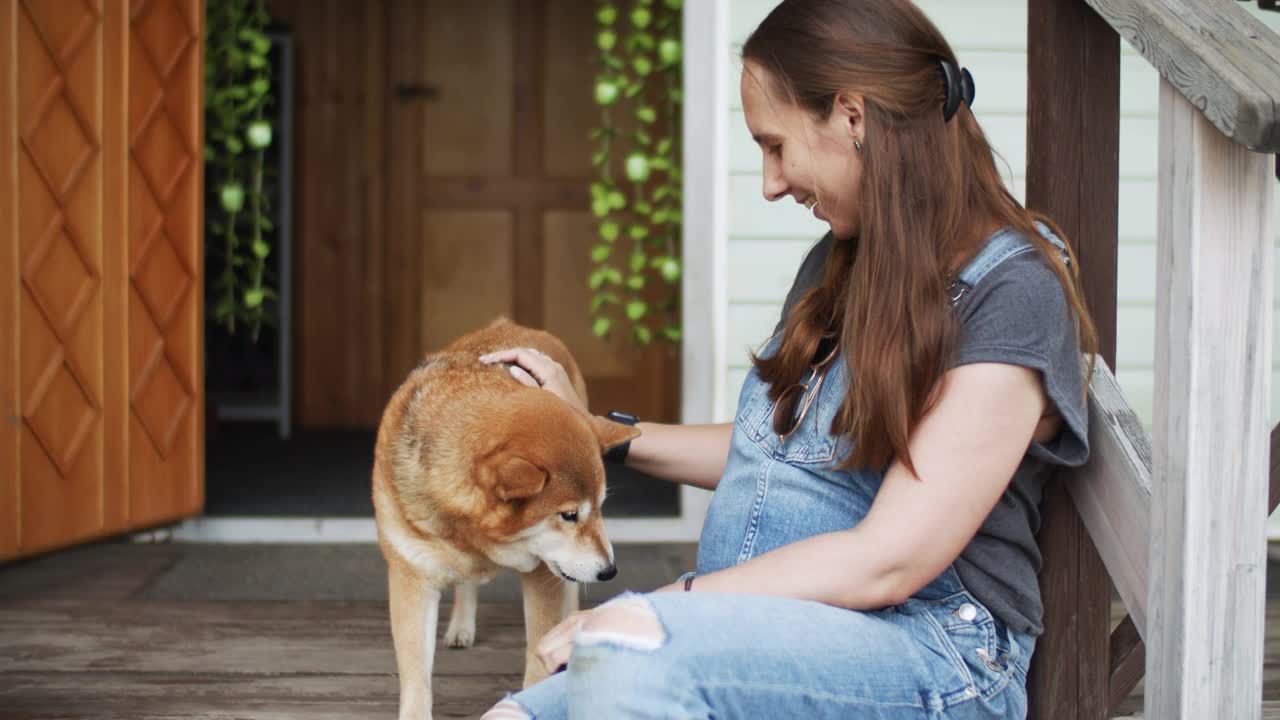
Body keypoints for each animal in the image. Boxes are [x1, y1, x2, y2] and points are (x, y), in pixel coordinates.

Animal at [371, 315, 640, 717]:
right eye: (569, 514)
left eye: (600, 507)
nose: (609, 571)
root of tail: (519, 326)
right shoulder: (411, 577)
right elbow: (416, 676)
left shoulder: (544, 574)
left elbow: (539, 651)